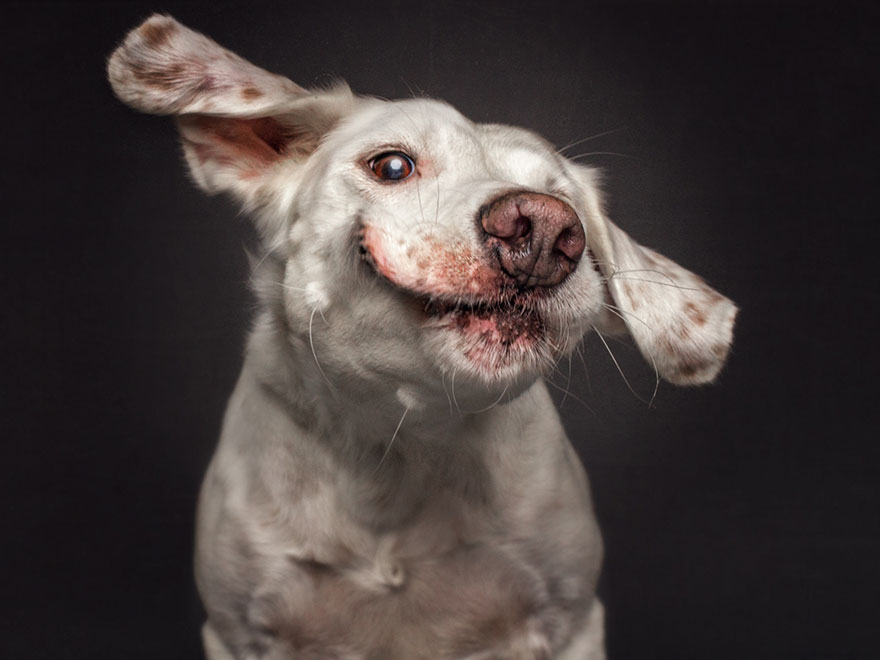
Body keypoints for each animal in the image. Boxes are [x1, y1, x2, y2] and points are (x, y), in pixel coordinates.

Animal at [106, 14, 736, 656]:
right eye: (392, 166)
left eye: (565, 200)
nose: (545, 230)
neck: (399, 442)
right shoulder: (237, 633)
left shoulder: (572, 623)